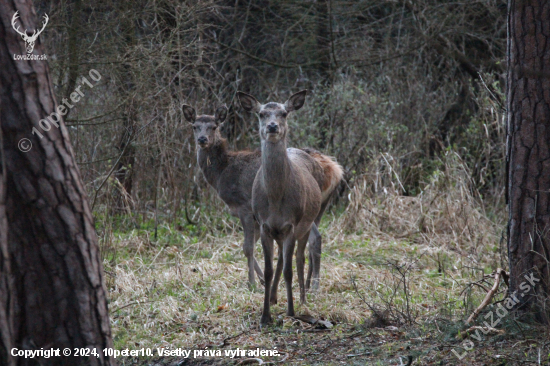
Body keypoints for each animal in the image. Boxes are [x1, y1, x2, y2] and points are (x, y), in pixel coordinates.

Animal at [183, 103, 342, 294]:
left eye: (214, 127)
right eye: (194, 126)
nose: (202, 139)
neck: (222, 174)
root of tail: (334, 170)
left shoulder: (244, 207)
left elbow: (248, 247)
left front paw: (251, 282)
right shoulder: (258, 217)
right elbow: (252, 244)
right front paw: (263, 280)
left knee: (315, 238)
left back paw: (315, 286)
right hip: (319, 208)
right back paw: (309, 283)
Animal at [238, 90, 344, 324]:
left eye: (284, 113)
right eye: (261, 113)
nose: (272, 126)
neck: (276, 198)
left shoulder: (292, 224)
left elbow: (289, 269)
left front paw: (291, 311)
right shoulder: (264, 225)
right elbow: (269, 269)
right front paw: (265, 315)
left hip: (308, 221)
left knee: (300, 257)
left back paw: (303, 298)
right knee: (282, 259)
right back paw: (274, 297)